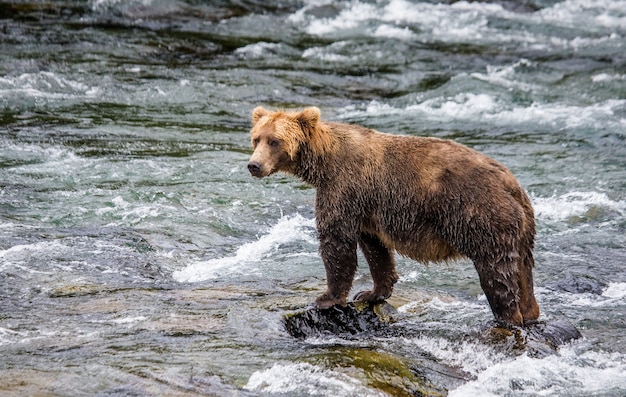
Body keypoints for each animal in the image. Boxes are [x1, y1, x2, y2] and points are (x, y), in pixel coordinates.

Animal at [246, 105, 540, 324]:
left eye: (275, 141)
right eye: (256, 138)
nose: (253, 165)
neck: (323, 164)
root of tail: (511, 184)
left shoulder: (343, 187)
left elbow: (336, 242)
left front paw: (327, 297)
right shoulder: (367, 208)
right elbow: (376, 249)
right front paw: (371, 292)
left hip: (480, 216)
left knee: (496, 273)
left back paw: (506, 318)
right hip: (523, 228)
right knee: (523, 270)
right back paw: (529, 312)